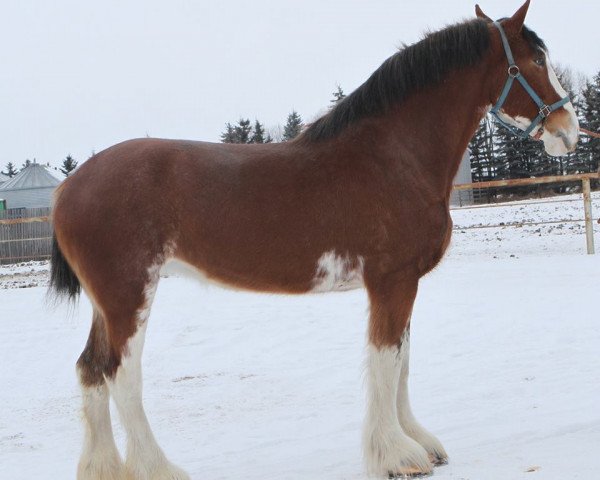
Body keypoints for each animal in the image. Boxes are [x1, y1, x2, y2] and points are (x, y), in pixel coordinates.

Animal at [52, 1, 580, 478]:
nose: (569, 131)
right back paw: (158, 468)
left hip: (107, 304)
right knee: (122, 376)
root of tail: (69, 188)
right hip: (129, 296)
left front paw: (418, 443)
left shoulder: (404, 283)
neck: (393, 156)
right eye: (535, 61)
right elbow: (386, 361)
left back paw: (103, 468)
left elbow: (403, 361)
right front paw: (396, 456)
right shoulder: (391, 281)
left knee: (90, 369)